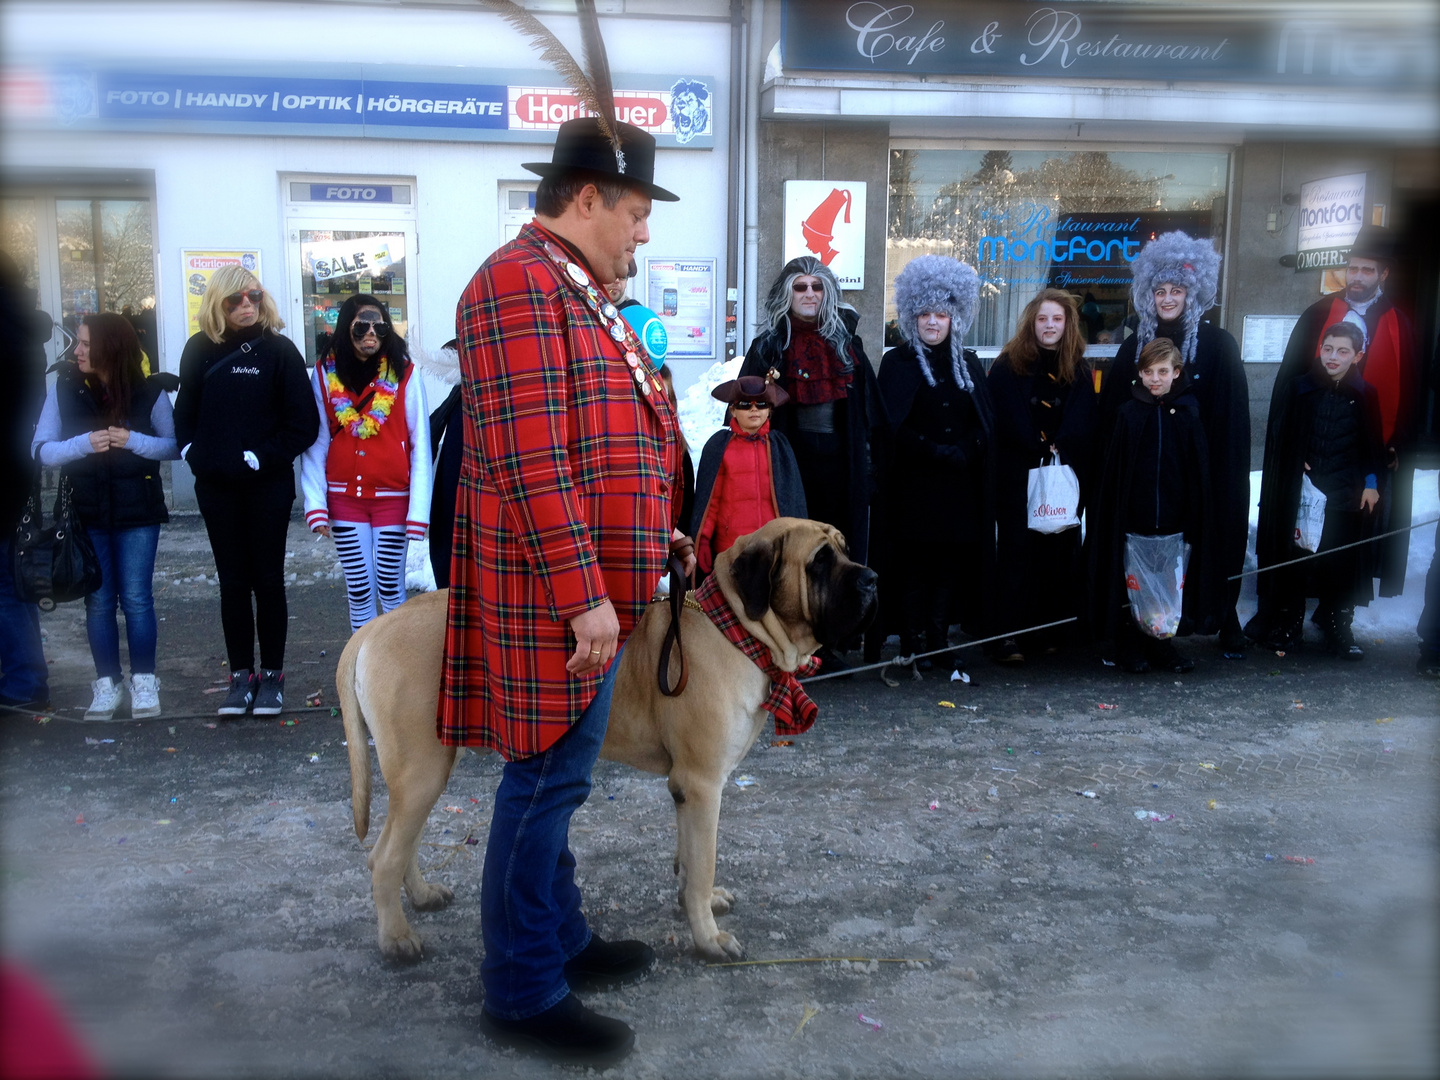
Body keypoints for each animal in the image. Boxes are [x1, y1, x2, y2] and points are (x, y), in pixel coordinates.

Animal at [339, 521, 875, 961]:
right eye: (819, 561)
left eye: (846, 550)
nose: (871, 579)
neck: (737, 631)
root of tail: (372, 628)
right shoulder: (703, 785)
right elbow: (703, 860)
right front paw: (708, 938)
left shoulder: (686, 790)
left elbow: (689, 858)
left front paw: (696, 903)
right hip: (422, 770)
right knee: (383, 857)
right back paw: (397, 939)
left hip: (426, 769)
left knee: (400, 842)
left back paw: (422, 896)